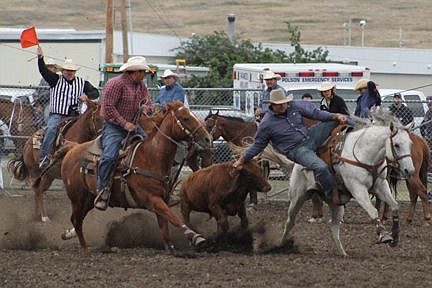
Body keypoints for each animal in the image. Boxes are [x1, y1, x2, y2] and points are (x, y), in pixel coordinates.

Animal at [59, 101, 213, 252]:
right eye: (186, 118)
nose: (208, 139)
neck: (151, 157)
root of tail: (73, 149)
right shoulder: (152, 199)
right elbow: (174, 218)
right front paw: (197, 238)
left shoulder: (163, 199)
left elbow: (164, 226)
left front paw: (170, 247)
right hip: (77, 197)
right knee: (76, 220)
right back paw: (85, 248)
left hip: (89, 198)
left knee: (77, 219)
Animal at [280, 118, 416, 255]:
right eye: (397, 145)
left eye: (410, 144)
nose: (409, 170)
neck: (364, 154)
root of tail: (296, 165)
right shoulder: (357, 189)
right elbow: (373, 211)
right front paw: (384, 235)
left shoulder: (381, 185)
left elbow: (395, 206)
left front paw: (395, 237)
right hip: (297, 198)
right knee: (290, 222)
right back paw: (281, 244)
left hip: (337, 206)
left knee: (334, 229)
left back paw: (343, 253)